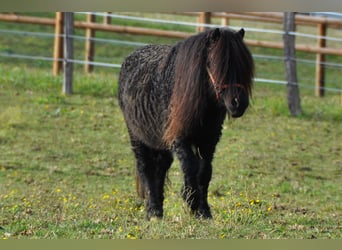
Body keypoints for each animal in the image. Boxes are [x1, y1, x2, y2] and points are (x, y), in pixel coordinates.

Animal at [117, 27, 254, 219]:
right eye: (217, 64)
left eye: (244, 65)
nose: (238, 104)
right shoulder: (180, 138)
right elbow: (190, 167)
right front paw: (191, 201)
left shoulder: (209, 140)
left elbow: (205, 171)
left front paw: (204, 211)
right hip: (137, 136)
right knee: (146, 167)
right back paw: (153, 211)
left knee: (160, 168)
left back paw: (158, 209)